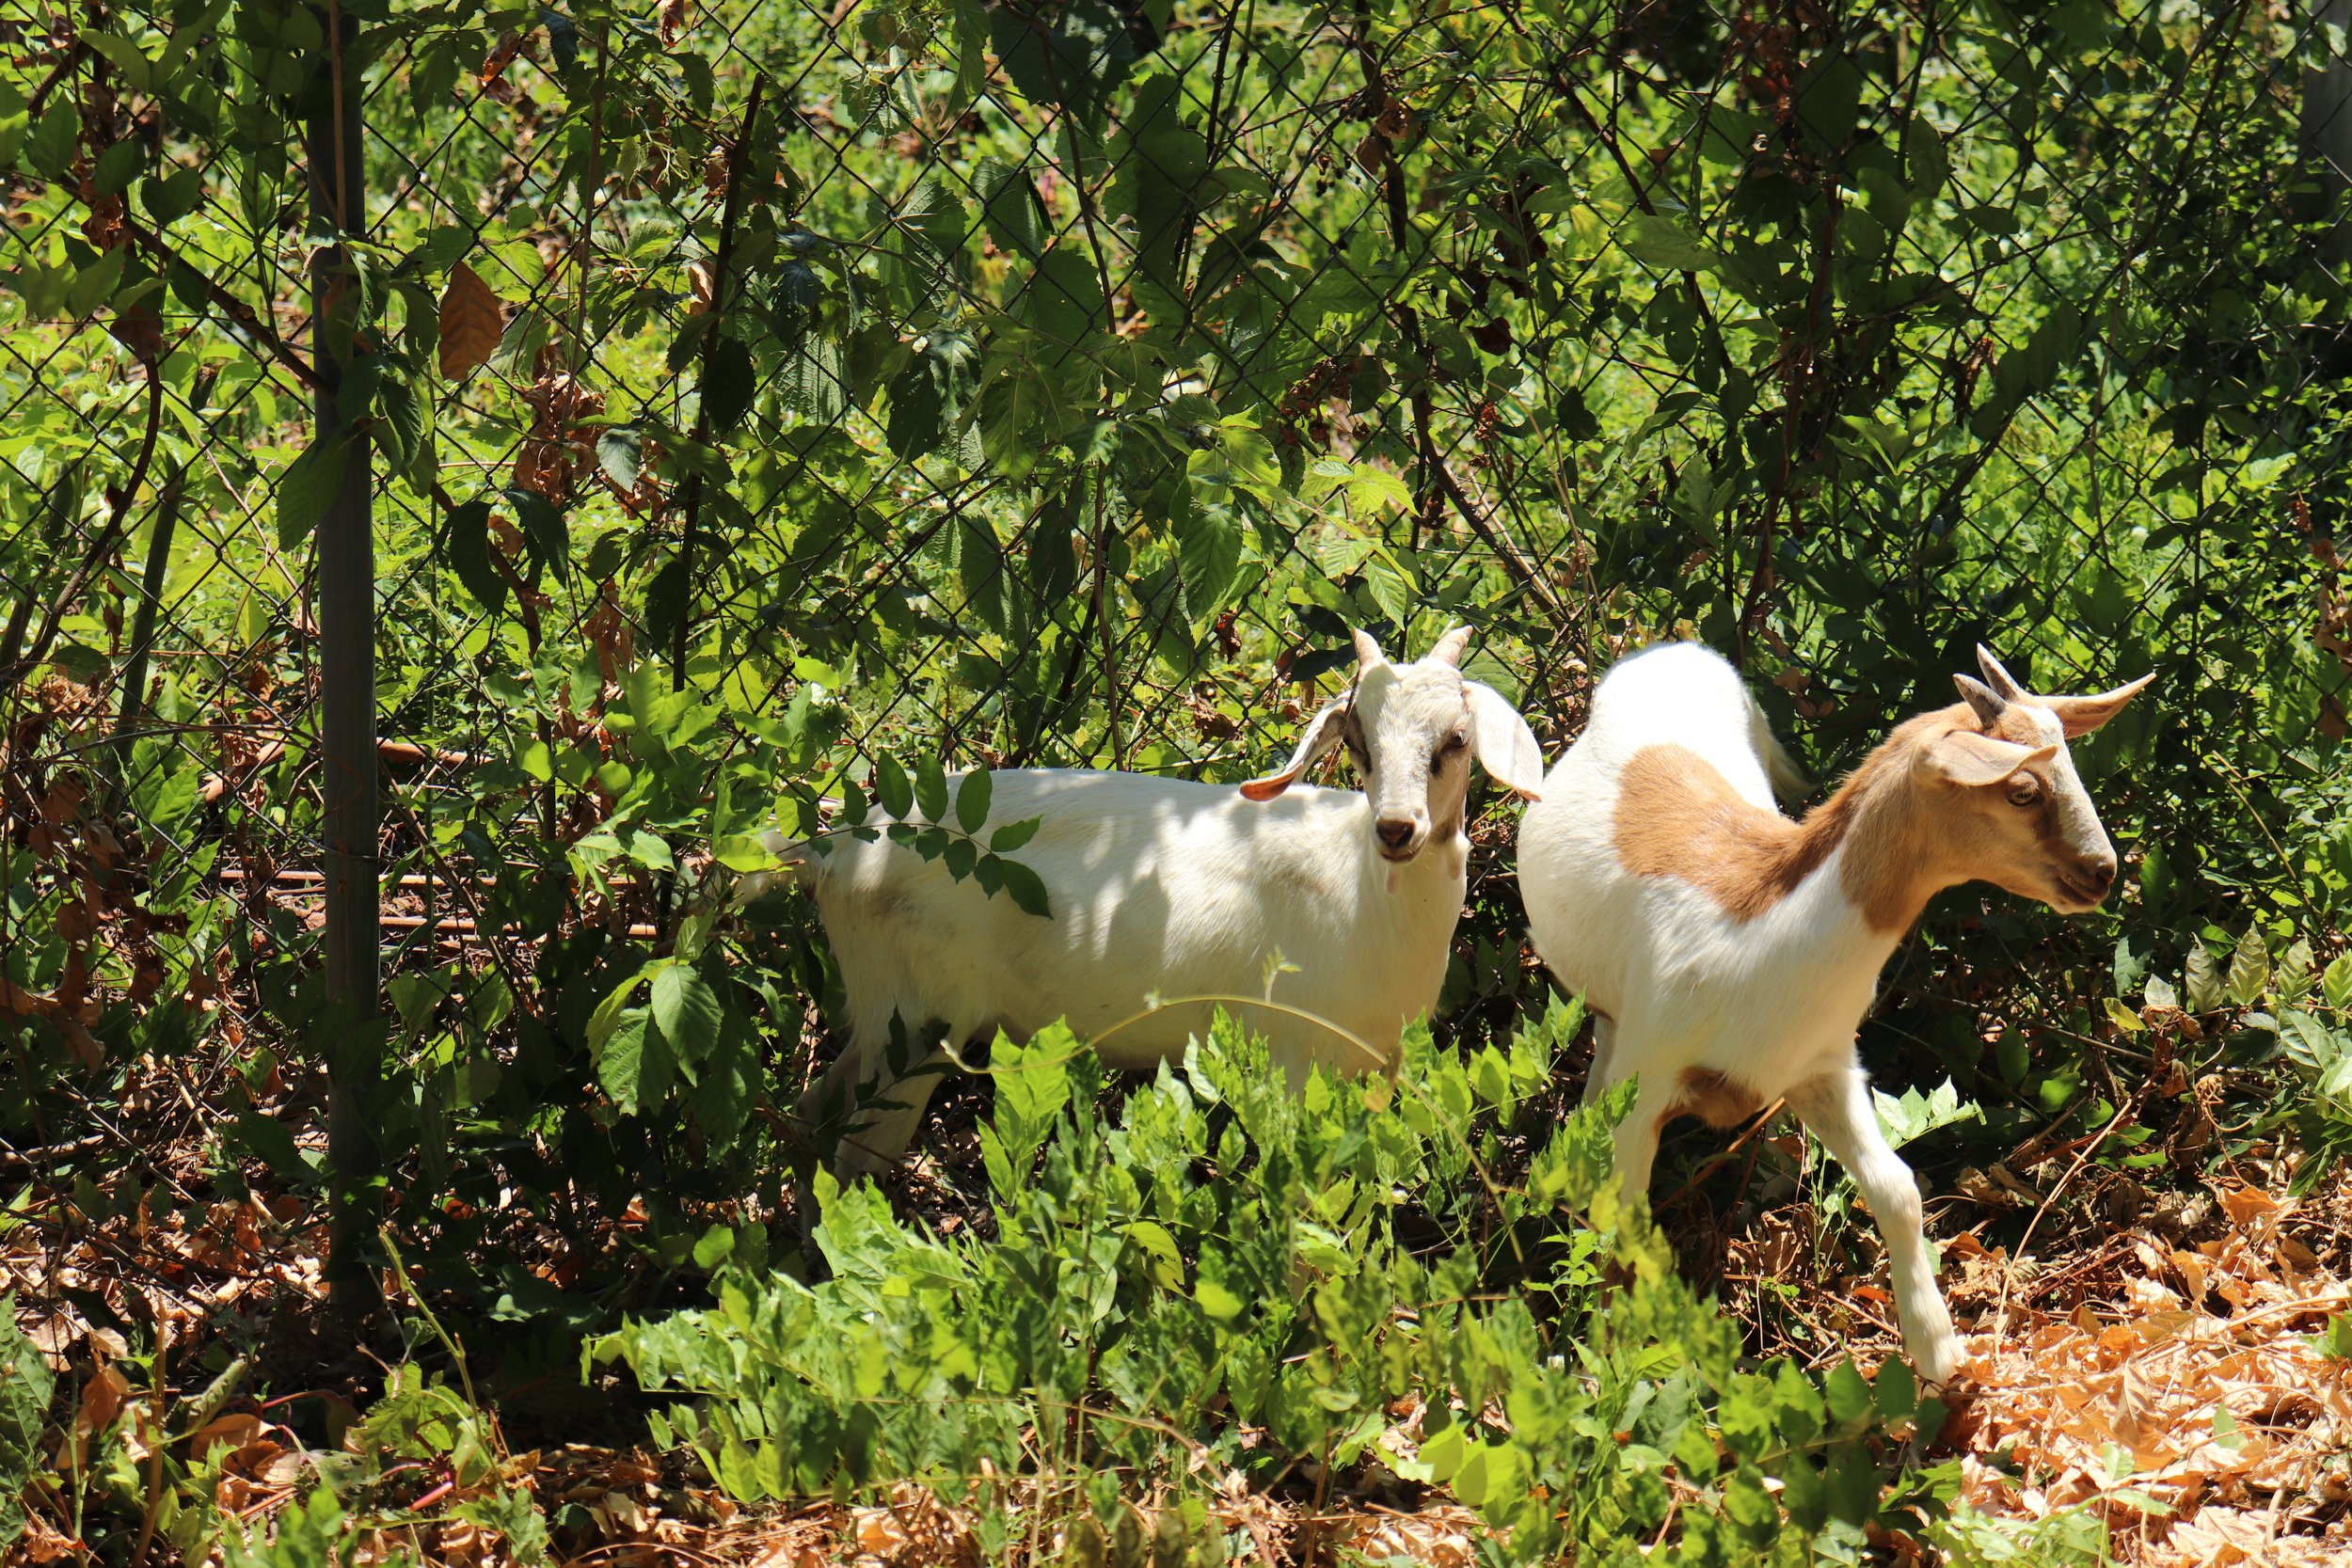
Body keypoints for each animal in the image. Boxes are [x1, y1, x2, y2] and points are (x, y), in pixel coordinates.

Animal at [753, 627, 1546, 1179]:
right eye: (1357, 738)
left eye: (1457, 738)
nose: (1397, 827)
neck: (1364, 896)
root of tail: (835, 847)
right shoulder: (1290, 1059)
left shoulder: (1377, 1063)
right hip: (917, 1024)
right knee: (854, 1157)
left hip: (887, 1024)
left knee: (814, 1111)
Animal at [1518, 641, 2151, 1384]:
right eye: (2021, 790)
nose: (2103, 871)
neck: (1755, 945)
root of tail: (1677, 648)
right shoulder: (1648, 1082)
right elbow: (1625, 1224)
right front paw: (1605, 1363)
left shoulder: (1821, 1065)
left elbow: (1898, 1188)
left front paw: (1939, 1352)